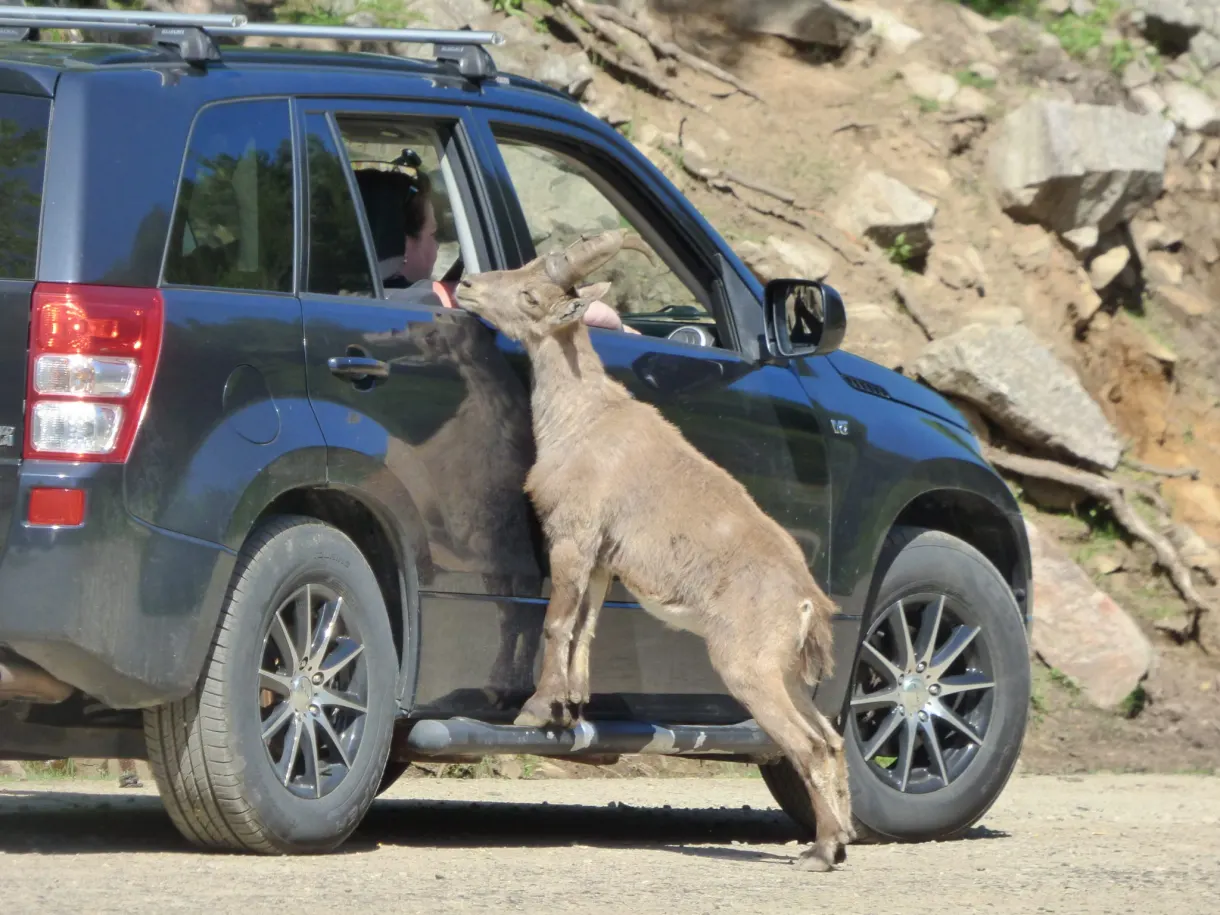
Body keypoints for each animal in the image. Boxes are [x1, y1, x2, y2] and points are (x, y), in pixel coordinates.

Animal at [454, 229, 855, 872]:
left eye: (531, 295)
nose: (465, 284)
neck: (583, 418)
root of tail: (806, 604)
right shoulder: (603, 557)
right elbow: (586, 625)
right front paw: (573, 704)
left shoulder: (573, 533)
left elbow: (557, 621)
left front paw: (537, 708)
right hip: (788, 673)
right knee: (831, 738)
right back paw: (840, 840)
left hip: (749, 668)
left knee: (807, 745)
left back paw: (818, 852)